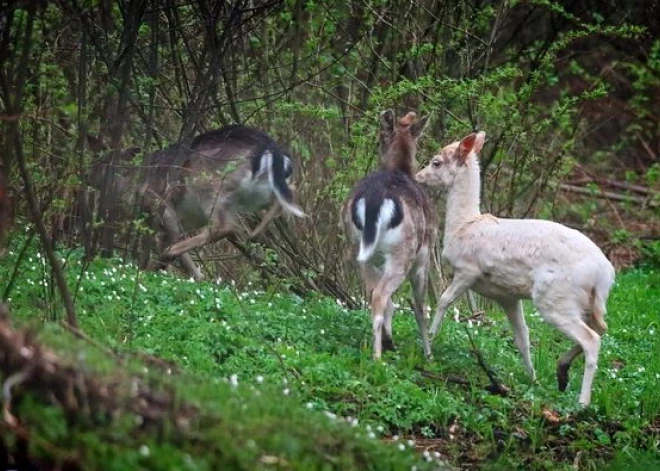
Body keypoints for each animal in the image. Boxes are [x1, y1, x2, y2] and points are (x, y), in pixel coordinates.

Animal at [86, 124, 306, 280]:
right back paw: (255, 234)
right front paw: (157, 268)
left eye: (99, 162)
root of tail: (273, 151)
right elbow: (160, 243)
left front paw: (190, 273)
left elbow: (171, 239)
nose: (86, 176)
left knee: (223, 226)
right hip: (257, 194)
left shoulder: (159, 203)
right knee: (289, 197)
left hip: (209, 186)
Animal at [342, 111, 436, 362]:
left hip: (359, 250)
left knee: (374, 294)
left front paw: (390, 340)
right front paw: (428, 353)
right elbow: (420, 307)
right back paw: (377, 358)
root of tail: (375, 200)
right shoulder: (424, 259)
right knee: (380, 296)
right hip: (402, 253)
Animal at [416, 132, 616, 406]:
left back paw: (582, 401)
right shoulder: (507, 296)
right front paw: (532, 379)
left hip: (555, 297)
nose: (418, 176)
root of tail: (604, 275)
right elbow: (522, 336)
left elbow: (444, 300)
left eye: (436, 162)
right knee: (601, 329)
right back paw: (561, 372)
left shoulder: (468, 270)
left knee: (591, 339)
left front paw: (431, 341)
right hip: (588, 303)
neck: (463, 226)